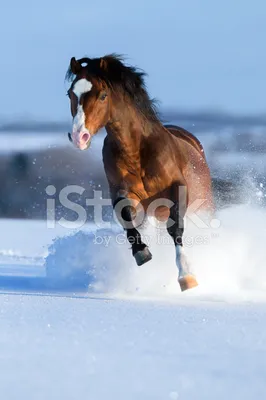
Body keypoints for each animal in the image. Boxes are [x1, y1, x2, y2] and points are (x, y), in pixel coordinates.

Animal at [66, 54, 214, 290]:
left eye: (103, 95)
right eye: (71, 94)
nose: (79, 136)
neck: (136, 152)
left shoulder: (177, 188)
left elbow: (175, 226)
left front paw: (187, 276)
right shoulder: (123, 192)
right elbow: (126, 215)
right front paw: (141, 252)